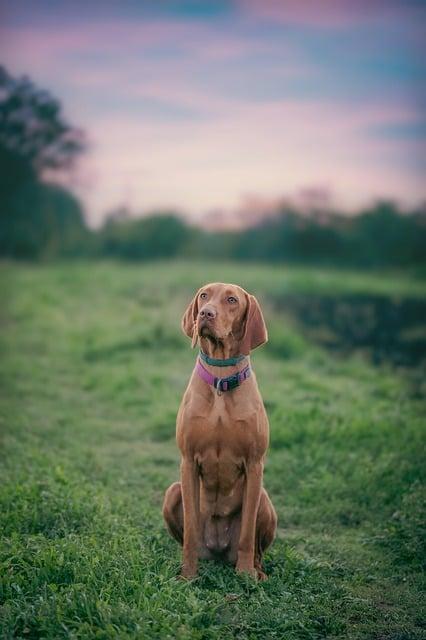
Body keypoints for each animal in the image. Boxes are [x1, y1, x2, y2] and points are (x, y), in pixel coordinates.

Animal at [162, 282, 276, 576]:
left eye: (232, 300)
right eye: (204, 295)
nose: (205, 313)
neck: (221, 380)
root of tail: (218, 551)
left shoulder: (255, 464)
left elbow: (247, 532)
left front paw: (245, 574)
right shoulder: (188, 462)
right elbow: (191, 529)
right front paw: (188, 575)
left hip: (264, 499)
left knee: (257, 548)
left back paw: (256, 570)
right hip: (172, 492)